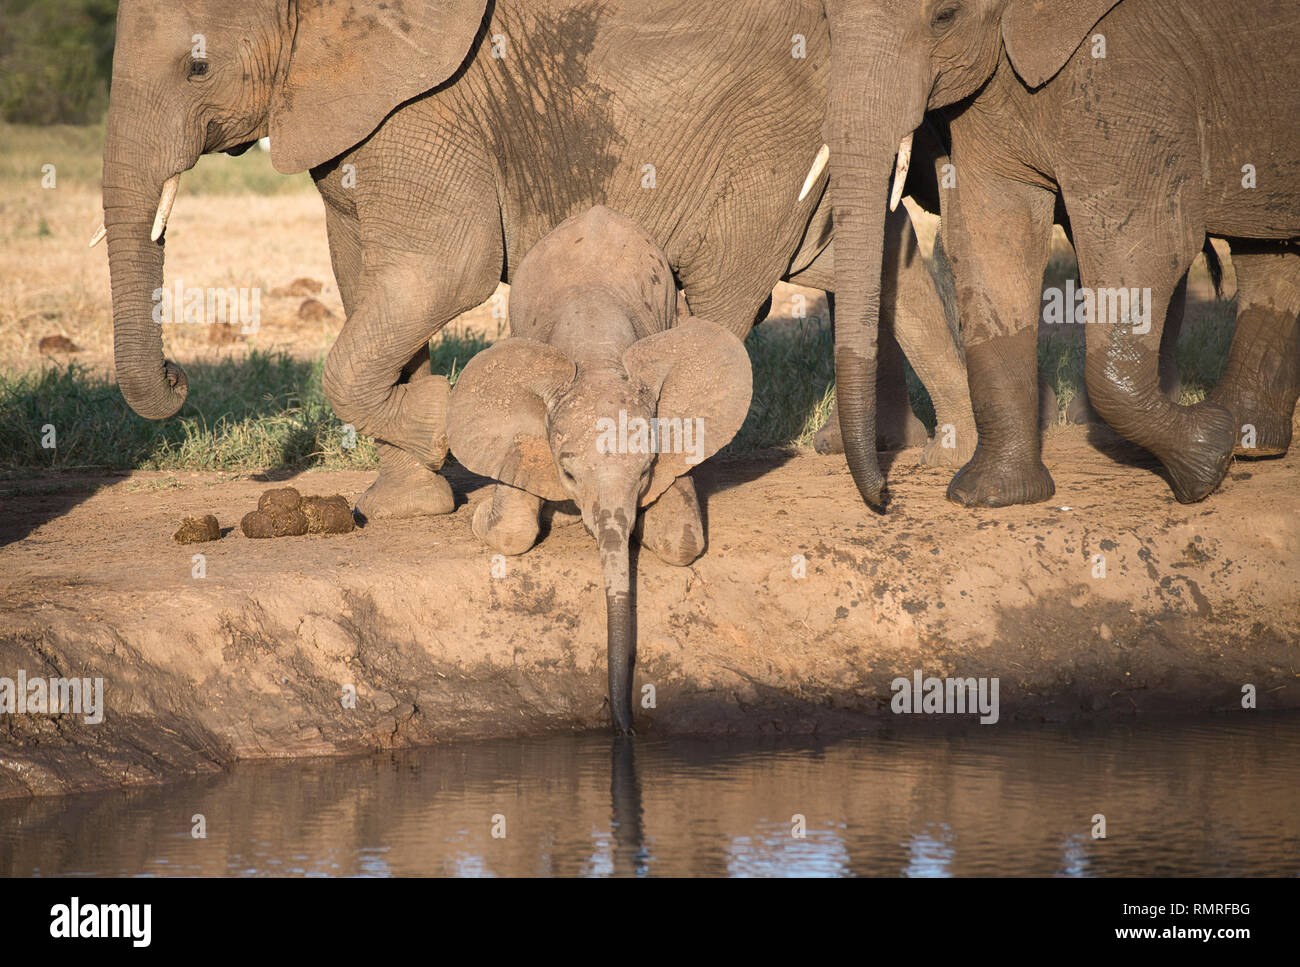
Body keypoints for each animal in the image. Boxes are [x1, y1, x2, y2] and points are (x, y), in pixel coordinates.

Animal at [98, 0, 977, 522]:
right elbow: (361, 275)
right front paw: (406, 501)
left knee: (728, 288)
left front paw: (438, 421)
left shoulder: (427, 109)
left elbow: (446, 269)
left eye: (197, 66)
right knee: (872, 264)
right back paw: (951, 451)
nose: (177, 378)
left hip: (768, 144)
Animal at [449, 205, 748, 733]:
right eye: (568, 476)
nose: (622, 725)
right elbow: (512, 530)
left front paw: (648, 528)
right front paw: (479, 517)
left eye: (647, 472)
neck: (597, 353)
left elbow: (684, 539)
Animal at [821, 0, 1300, 509]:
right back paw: (1252, 440)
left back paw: (1238, 437)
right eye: (827, 22)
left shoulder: (1129, 70)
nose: (884, 497)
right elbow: (992, 239)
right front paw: (991, 494)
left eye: (944, 17)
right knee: (1268, 251)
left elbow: (1146, 238)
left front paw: (1206, 458)